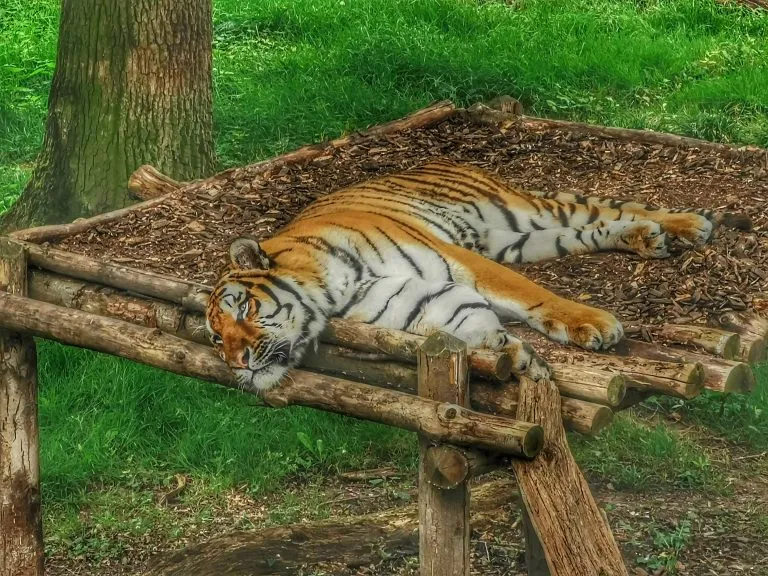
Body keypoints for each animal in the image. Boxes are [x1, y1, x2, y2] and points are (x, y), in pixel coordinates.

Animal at [205, 159, 750, 391]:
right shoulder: (412, 298)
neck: (333, 293)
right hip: (518, 238)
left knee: (603, 208)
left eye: (244, 307)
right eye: (214, 338)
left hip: (522, 212)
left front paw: (593, 323)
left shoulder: (460, 261)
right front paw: (510, 354)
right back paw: (649, 238)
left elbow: (532, 295)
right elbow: (464, 324)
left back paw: (686, 226)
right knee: (592, 228)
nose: (235, 364)